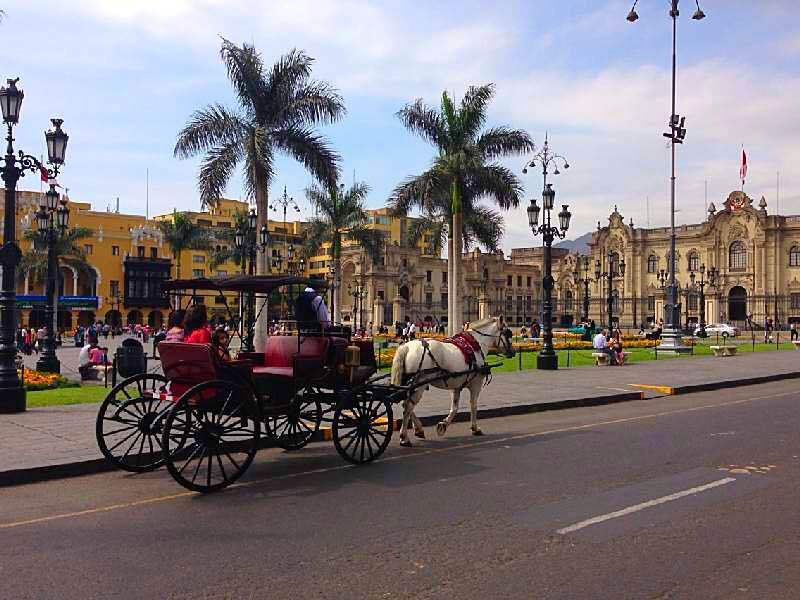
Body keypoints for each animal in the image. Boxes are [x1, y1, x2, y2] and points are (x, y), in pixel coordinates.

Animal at [390, 316, 516, 448]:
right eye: (508, 333)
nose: (513, 351)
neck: (476, 344)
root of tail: (406, 347)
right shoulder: (476, 383)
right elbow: (473, 404)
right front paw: (475, 428)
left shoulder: (456, 385)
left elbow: (455, 407)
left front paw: (442, 425)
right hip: (420, 384)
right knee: (408, 406)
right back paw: (404, 438)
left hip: (408, 384)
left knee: (406, 404)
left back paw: (419, 430)